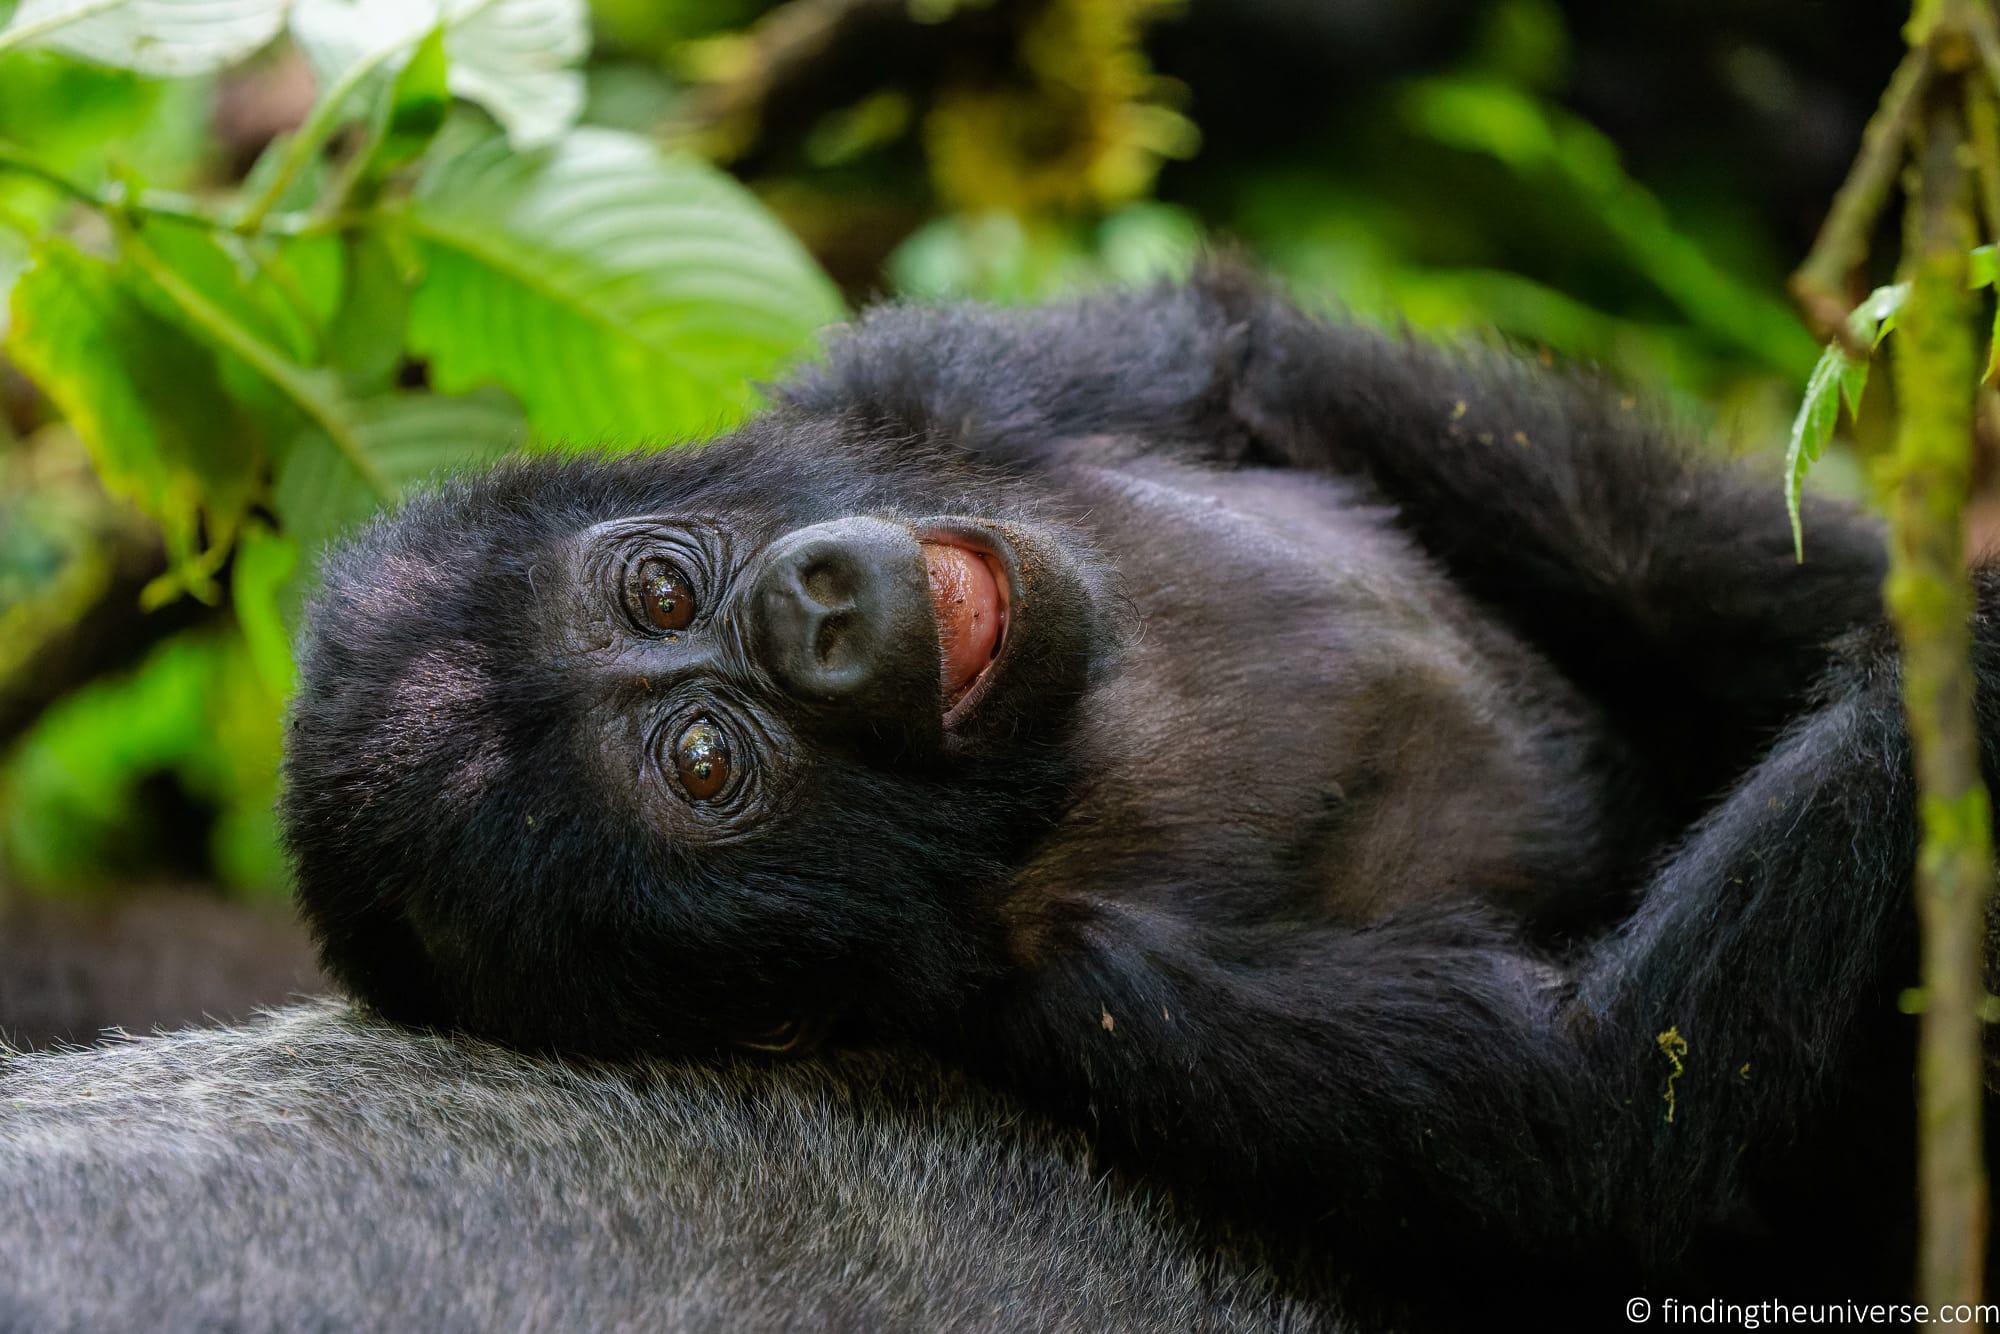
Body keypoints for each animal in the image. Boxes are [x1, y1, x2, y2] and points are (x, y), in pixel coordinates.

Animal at [278, 268, 1968, 1304]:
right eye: (705, 762)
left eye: (658, 586)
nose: (809, 608)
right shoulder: (1107, 1003)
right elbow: (1607, 1100)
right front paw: (1976, 666)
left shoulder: (937, 385)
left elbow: (1299, 377)